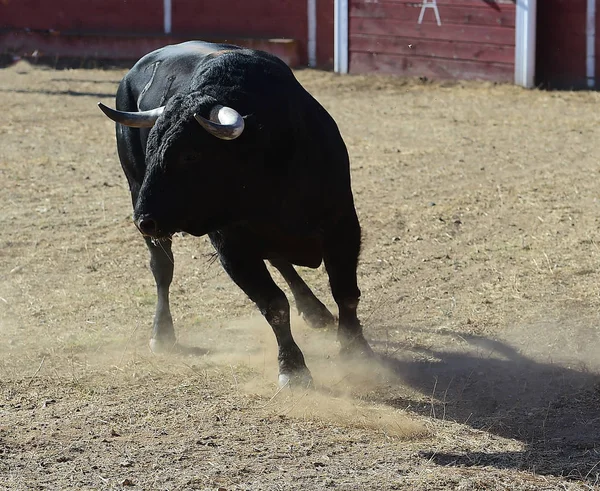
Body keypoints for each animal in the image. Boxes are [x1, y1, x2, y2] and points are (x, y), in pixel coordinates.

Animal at [97, 41, 370, 388]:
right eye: (151, 148)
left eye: (190, 154)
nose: (144, 221)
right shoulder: (232, 247)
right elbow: (273, 305)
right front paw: (293, 368)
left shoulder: (342, 224)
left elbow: (345, 291)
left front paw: (356, 350)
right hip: (138, 193)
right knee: (162, 269)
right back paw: (162, 333)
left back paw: (315, 311)